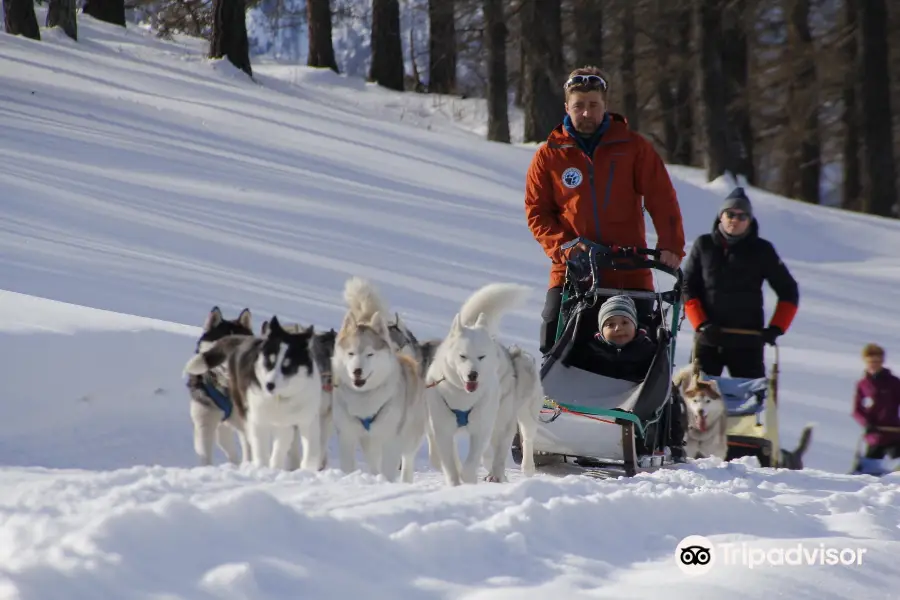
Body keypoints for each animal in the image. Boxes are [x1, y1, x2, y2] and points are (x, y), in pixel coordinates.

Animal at [332, 278, 428, 482]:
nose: (357, 371)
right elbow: (349, 465)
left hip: (410, 435)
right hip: (370, 441)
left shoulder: (391, 438)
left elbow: (389, 468)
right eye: (351, 353)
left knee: (407, 460)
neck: (364, 399)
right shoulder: (347, 436)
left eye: (370, 354)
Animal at [424, 284, 540, 486]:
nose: (473, 374)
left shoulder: (480, 430)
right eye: (462, 356)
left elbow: (471, 464)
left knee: (523, 439)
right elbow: (450, 466)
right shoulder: (443, 431)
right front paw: (456, 484)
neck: (463, 399)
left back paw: (520, 469)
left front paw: (469, 480)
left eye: (481, 356)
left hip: (516, 416)